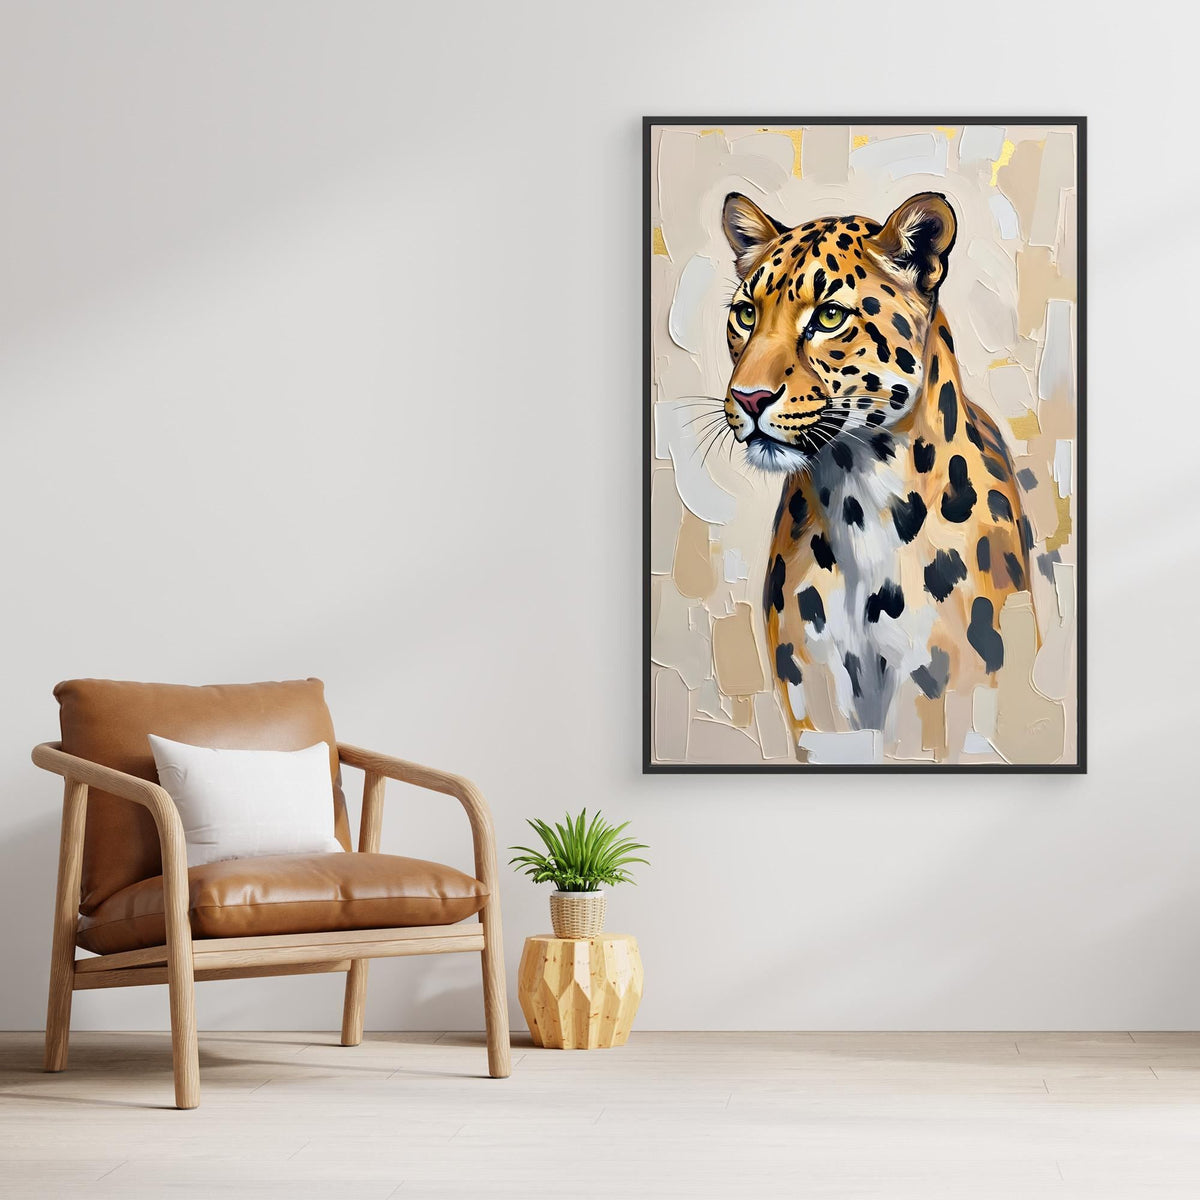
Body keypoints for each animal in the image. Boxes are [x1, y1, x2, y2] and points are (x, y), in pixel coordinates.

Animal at [718, 190, 1033, 760]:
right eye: (746, 314)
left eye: (829, 316)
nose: (749, 398)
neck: (856, 496)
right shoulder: (814, 694)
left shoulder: (940, 692)